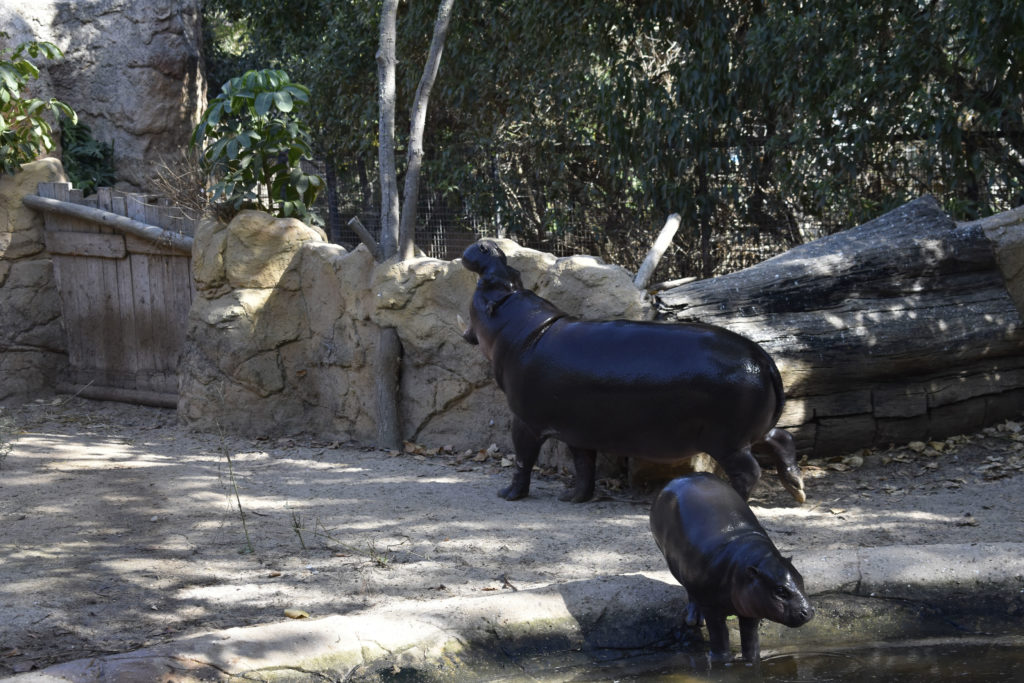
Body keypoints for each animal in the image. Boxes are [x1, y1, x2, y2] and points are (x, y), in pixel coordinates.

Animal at [460, 239, 802, 501]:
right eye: (514, 273)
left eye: (488, 285)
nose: (488, 247)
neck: (524, 326)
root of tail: (763, 359)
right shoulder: (577, 428)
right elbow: (584, 466)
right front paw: (573, 498)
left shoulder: (526, 420)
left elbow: (523, 459)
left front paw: (508, 495)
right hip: (750, 430)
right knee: (782, 437)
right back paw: (797, 490)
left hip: (728, 440)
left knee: (749, 470)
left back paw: (740, 499)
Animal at [651, 475, 811, 663]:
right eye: (780, 590)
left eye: (801, 579)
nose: (809, 611)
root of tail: (679, 478)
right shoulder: (712, 608)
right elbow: (719, 637)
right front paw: (721, 661)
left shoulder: (752, 604)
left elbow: (750, 639)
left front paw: (752, 661)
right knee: (690, 592)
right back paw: (694, 619)